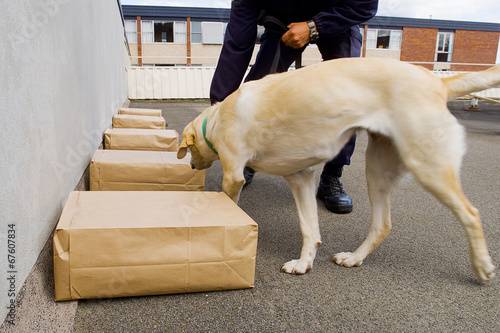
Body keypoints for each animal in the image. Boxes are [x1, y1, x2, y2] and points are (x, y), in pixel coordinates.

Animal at [177, 58, 496, 282]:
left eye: (190, 152)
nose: (191, 165)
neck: (215, 119)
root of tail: (437, 83)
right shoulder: (301, 178)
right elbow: (309, 228)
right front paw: (304, 263)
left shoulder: (233, 176)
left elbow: (231, 204)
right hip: (378, 171)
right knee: (382, 224)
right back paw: (354, 258)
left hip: (428, 167)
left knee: (471, 214)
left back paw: (482, 266)